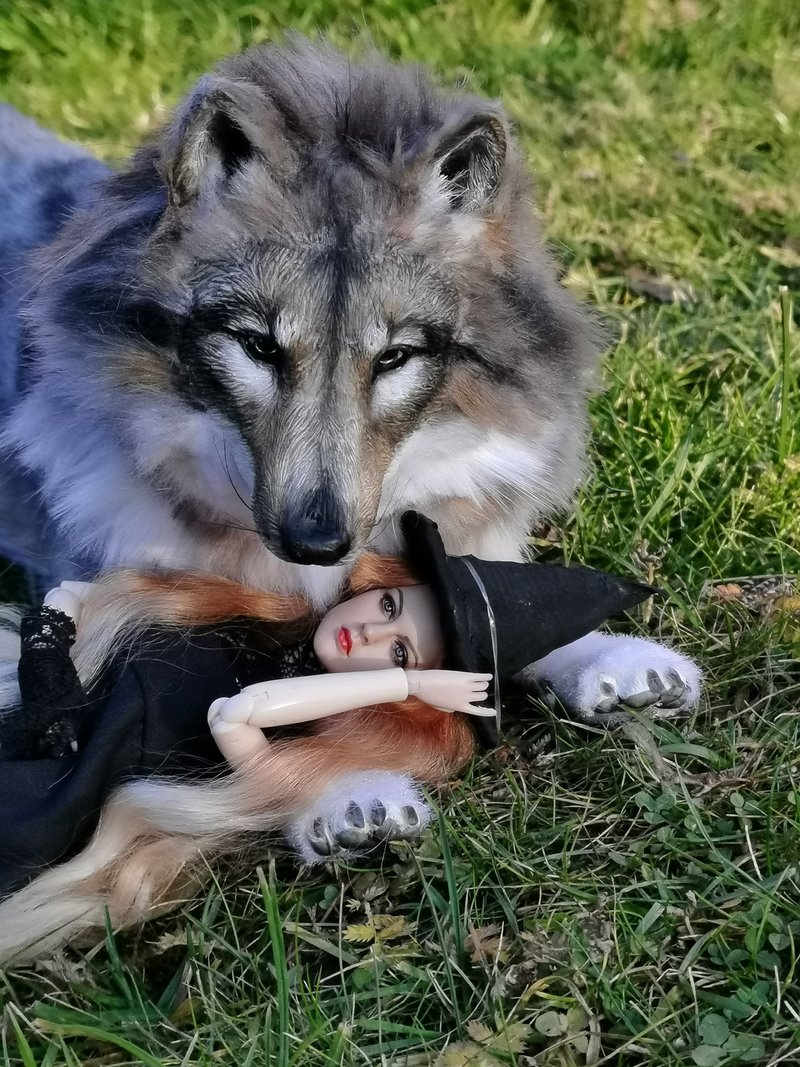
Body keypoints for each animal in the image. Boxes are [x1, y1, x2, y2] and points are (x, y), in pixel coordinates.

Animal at [0, 40, 700, 857]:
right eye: (258, 346)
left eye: (394, 357)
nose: (316, 541)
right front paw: (343, 796)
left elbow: (500, 602)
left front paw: (611, 657)